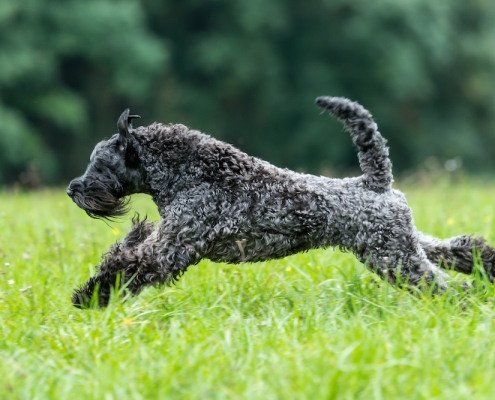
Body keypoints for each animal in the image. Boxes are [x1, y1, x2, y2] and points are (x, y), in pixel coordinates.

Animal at [67, 96, 495, 306]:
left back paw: (465, 306)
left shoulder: (172, 248)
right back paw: (486, 269)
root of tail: (376, 182)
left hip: (394, 258)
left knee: (445, 286)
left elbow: (128, 264)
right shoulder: (168, 239)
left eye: (99, 164)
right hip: (402, 244)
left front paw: (89, 296)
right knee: (457, 249)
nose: (73, 188)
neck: (190, 174)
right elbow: (128, 249)